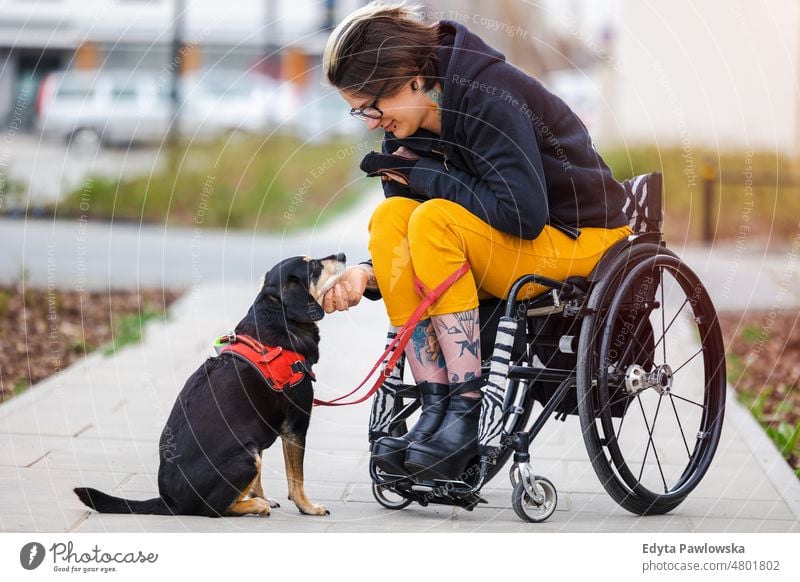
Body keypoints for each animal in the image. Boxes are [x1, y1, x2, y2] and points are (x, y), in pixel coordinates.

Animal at [75, 256, 346, 520]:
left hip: (251, 451)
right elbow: (296, 479)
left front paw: (261, 495)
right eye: (314, 266)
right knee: (213, 509)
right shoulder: (295, 426)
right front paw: (308, 507)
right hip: (246, 457)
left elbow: (260, 482)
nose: (342, 255)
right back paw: (255, 506)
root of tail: (170, 502)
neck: (277, 323)